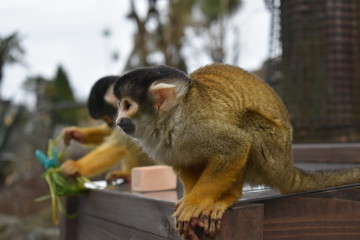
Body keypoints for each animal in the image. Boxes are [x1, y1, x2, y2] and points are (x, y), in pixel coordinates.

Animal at [112, 63, 360, 240]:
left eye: (127, 106)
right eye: (119, 106)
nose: (118, 121)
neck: (170, 119)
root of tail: (287, 166)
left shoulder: (195, 128)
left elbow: (236, 145)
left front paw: (195, 203)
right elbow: (186, 163)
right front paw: (189, 199)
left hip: (273, 154)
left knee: (248, 126)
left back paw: (228, 197)